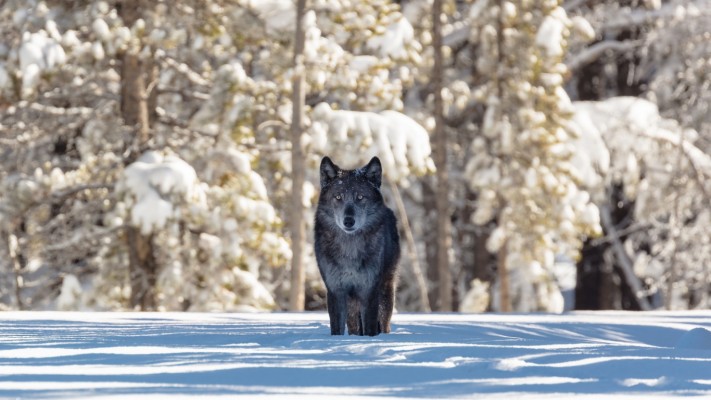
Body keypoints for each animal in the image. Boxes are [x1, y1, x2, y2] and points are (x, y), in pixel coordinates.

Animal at [316, 158, 400, 336]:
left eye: (360, 197)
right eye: (338, 197)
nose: (348, 221)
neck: (350, 249)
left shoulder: (369, 290)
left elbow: (370, 327)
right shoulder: (336, 290)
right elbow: (337, 329)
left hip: (385, 291)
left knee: (384, 323)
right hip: (352, 303)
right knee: (354, 326)